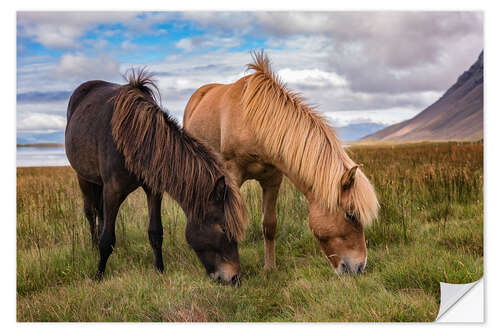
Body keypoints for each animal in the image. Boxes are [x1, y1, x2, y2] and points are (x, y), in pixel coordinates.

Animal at [64, 69, 248, 282]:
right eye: (224, 228)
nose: (235, 278)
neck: (133, 138)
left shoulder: (153, 189)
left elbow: (155, 232)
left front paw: (160, 270)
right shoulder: (113, 191)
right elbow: (107, 238)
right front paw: (98, 275)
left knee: (100, 214)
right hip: (83, 178)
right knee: (91, 211)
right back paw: (93, 247)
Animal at [184, 52, 378, 274]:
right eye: (350, 215)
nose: (359, 267)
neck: (255, 122)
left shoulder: (273, 179)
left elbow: (269, 225)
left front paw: (270, 267)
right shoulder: (232, 175)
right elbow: (231, 221)